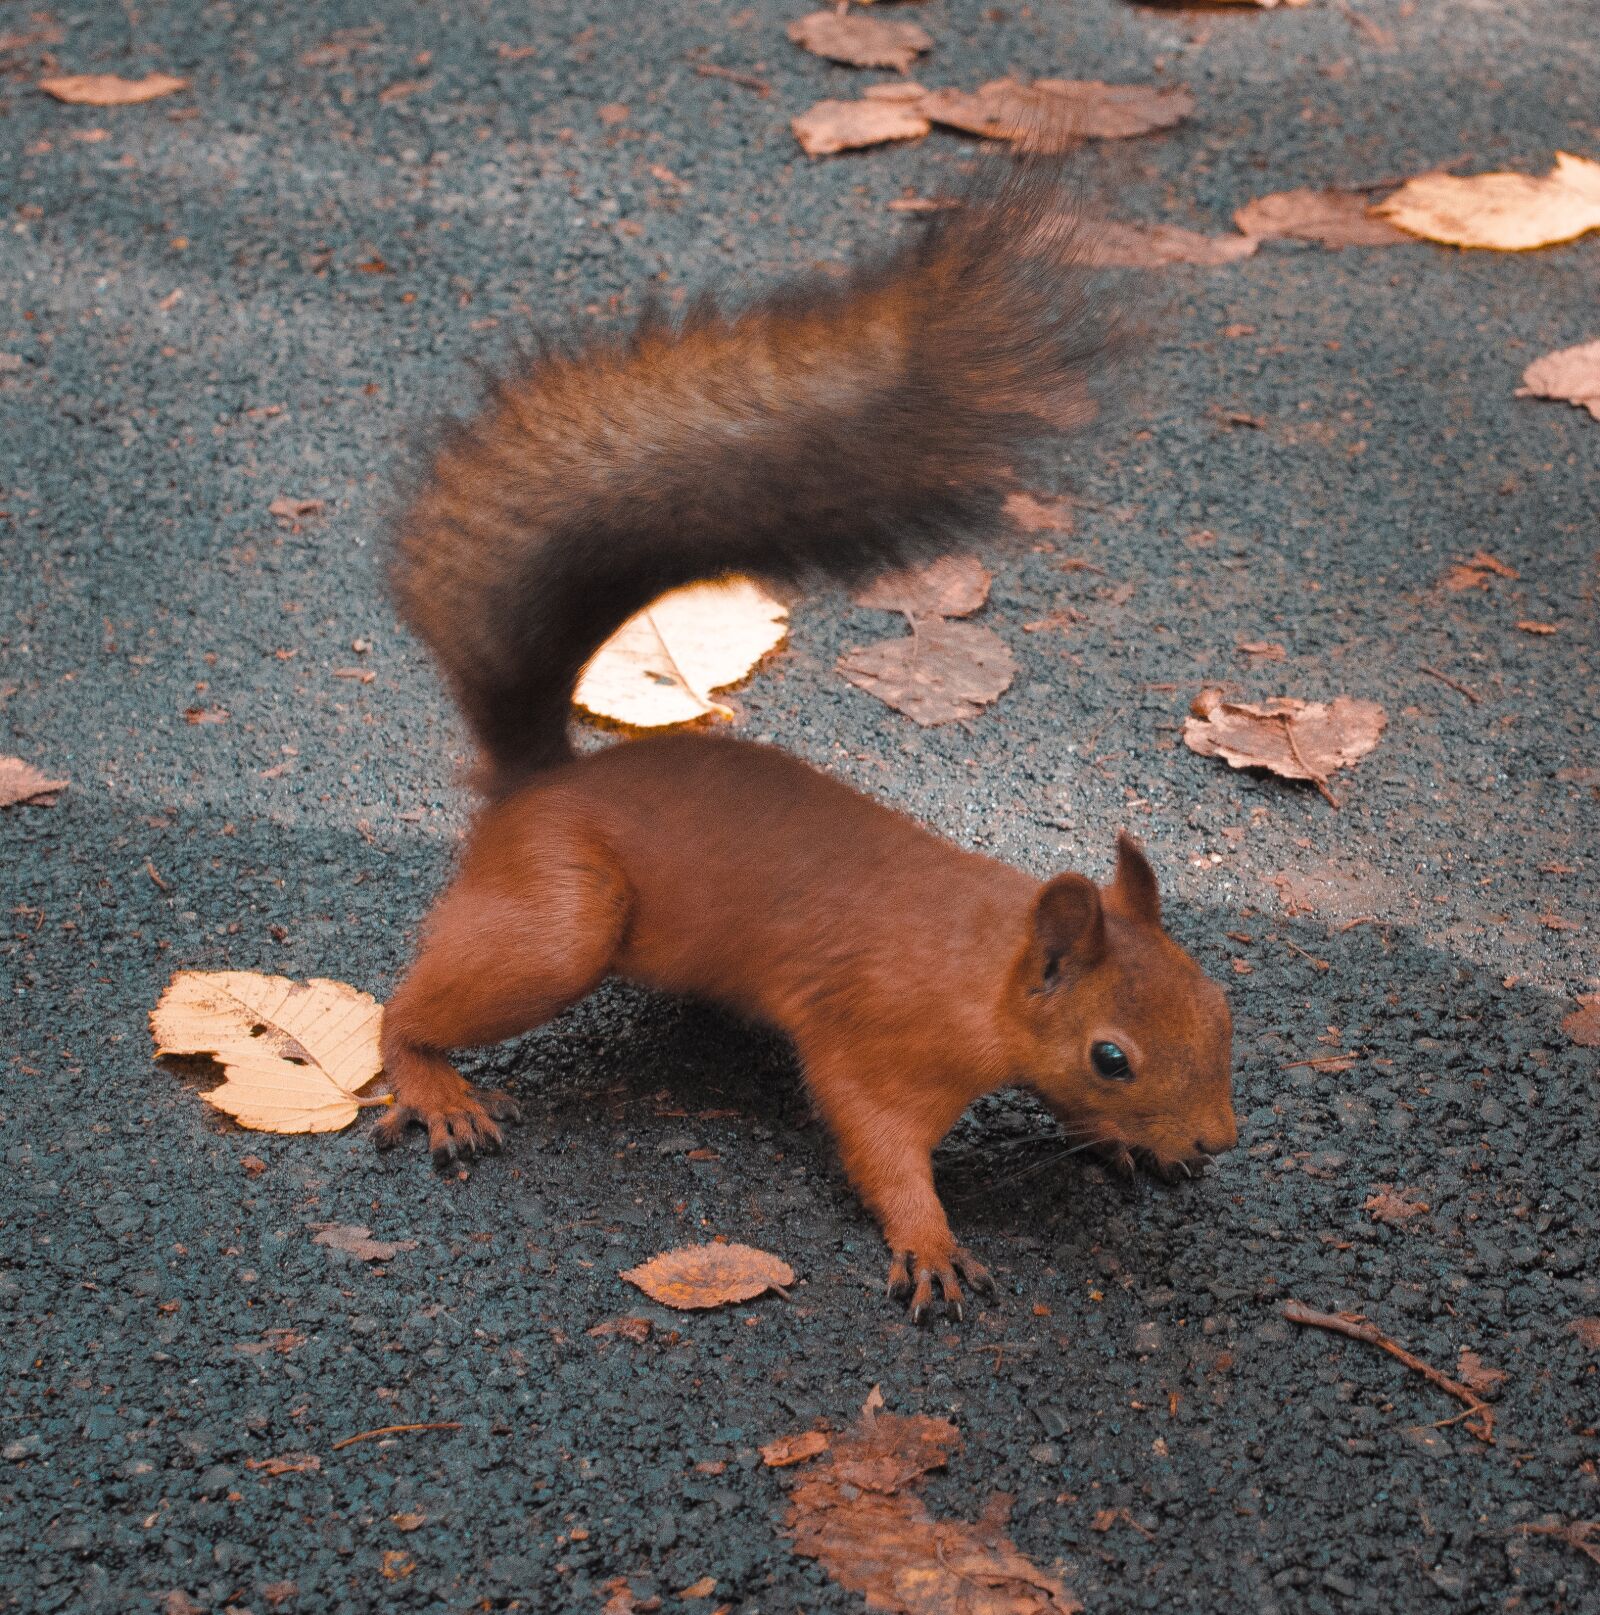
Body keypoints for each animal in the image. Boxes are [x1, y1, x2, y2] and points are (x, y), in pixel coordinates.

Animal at [377, 156, 1238, 1321]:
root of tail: (537, 785)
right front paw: (930, 1241)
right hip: (560, 920)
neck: (983, 957)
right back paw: (429, 1079)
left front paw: (1140, 1149)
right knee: (406, 1006)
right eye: (1111, 1056)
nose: (1219, 1138)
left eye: (1216, 999)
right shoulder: (873, 1044)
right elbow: (875, 1138)